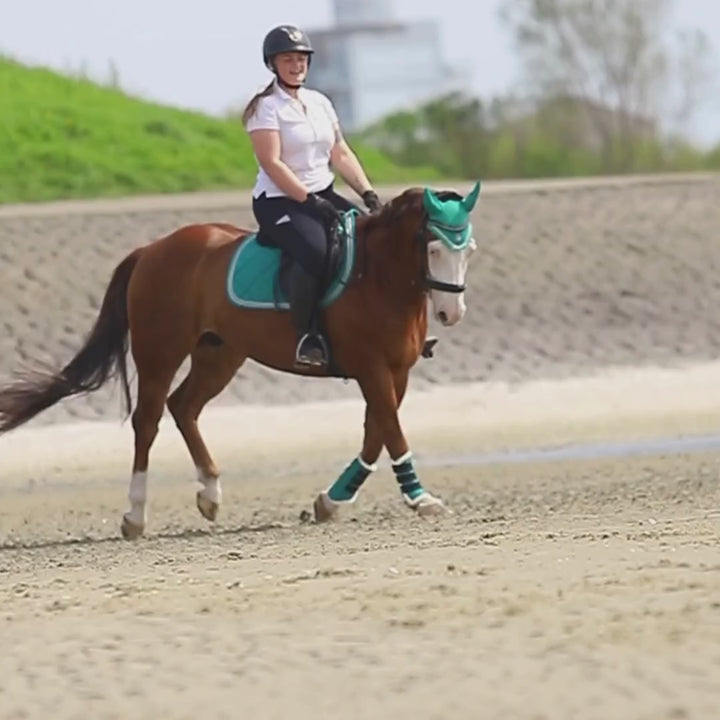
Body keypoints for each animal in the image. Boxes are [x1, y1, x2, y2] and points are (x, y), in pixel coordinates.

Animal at [1, 183, 484, 536]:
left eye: (468, 249)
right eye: (433, 247)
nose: (452, 313)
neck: (380, 277)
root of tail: (152, 249)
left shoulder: (395, 372)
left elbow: (375, 434)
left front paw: (329, 502)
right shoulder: (372, 369)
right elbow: (392, 433)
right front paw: (421, 499)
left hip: (220, 354)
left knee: (184, 407)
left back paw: (210, 494)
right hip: (161, 350)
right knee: (148, 420)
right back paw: (135, 516)